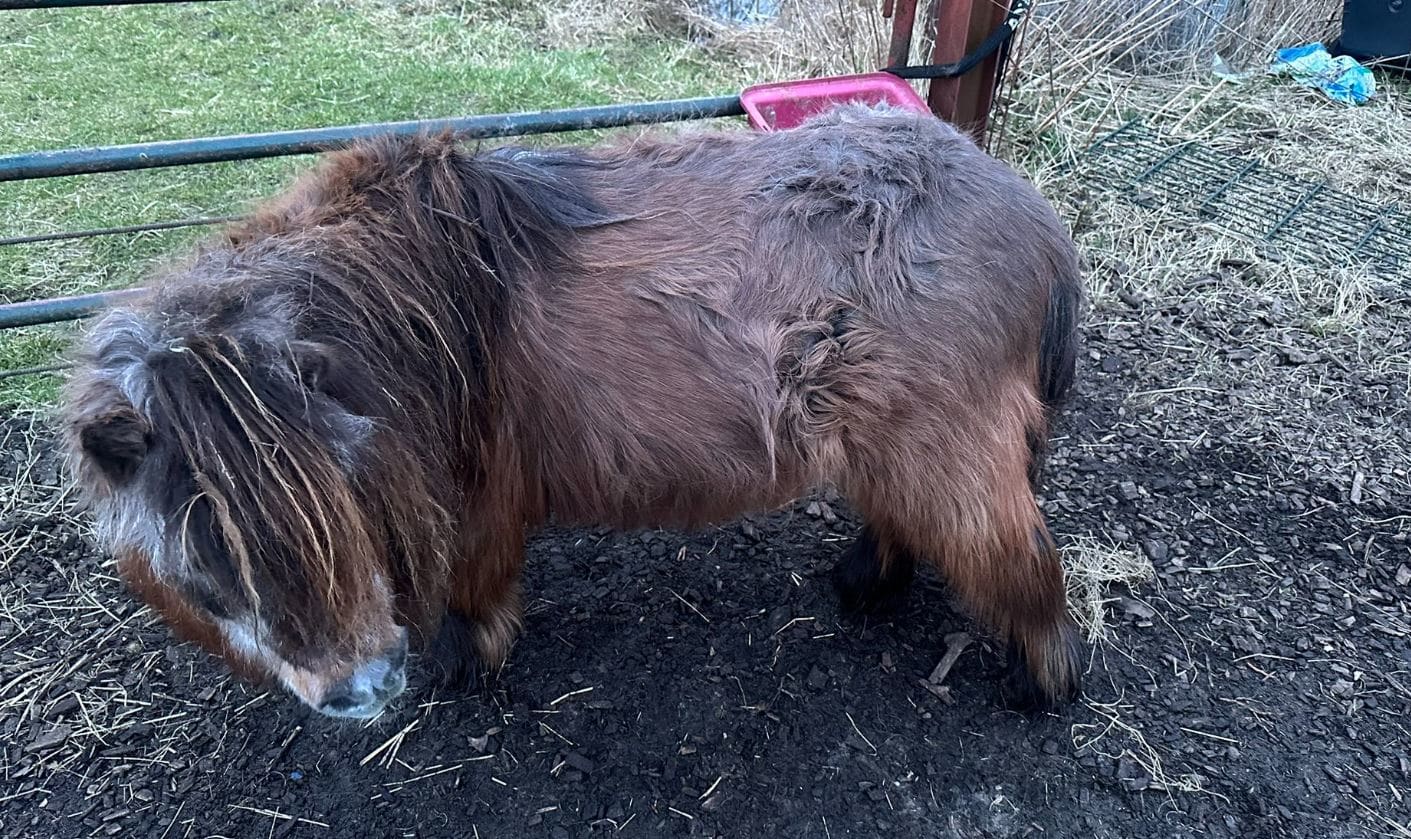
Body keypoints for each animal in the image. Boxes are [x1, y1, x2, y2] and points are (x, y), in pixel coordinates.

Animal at [60, 104, 1083, 720]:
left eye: (332, 515)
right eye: (202, 572)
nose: (361, 689)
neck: (416, 309)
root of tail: (1035, 214)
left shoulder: (477, 498)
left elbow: (473, 586)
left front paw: (466, 664)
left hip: (947, 446)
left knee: (1019, 561)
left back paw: (1043, 682)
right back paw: (865, 582)